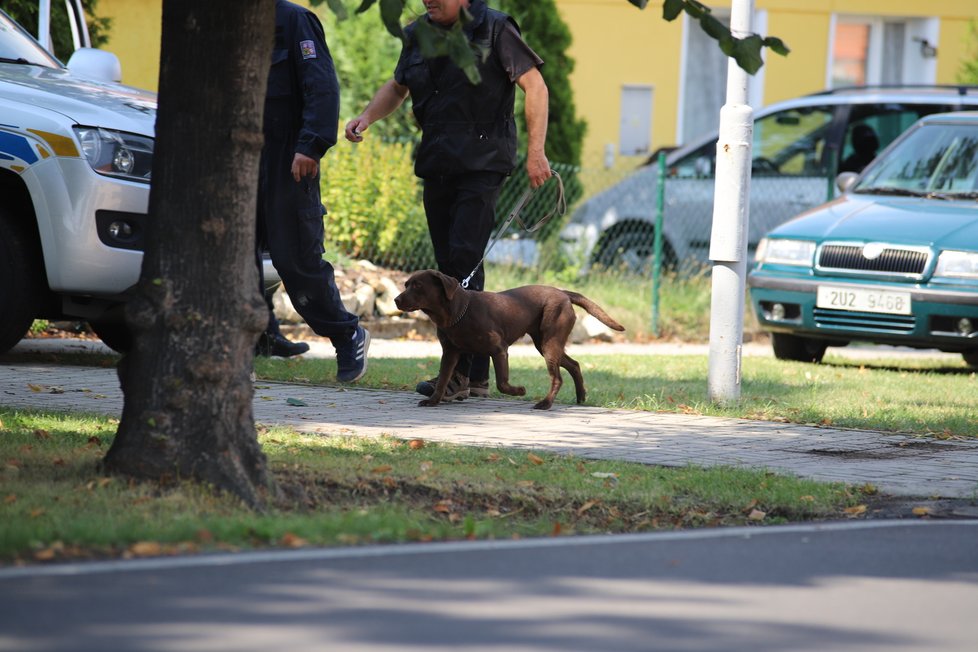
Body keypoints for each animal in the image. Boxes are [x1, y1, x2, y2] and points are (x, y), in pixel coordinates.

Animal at [390, 268, 624, 410]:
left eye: (418, 286)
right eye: (406, 284)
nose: (396, 300)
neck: (457, 313)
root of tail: (563, 293)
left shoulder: (499, 349)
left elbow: (502, 383)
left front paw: (519, 391)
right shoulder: (450, 353)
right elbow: (442, 381)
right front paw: (433, 401)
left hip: (550, 343)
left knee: (557, 377)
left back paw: (545, 403)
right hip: (545, 344)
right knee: (574, 364)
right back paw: (580, 396)